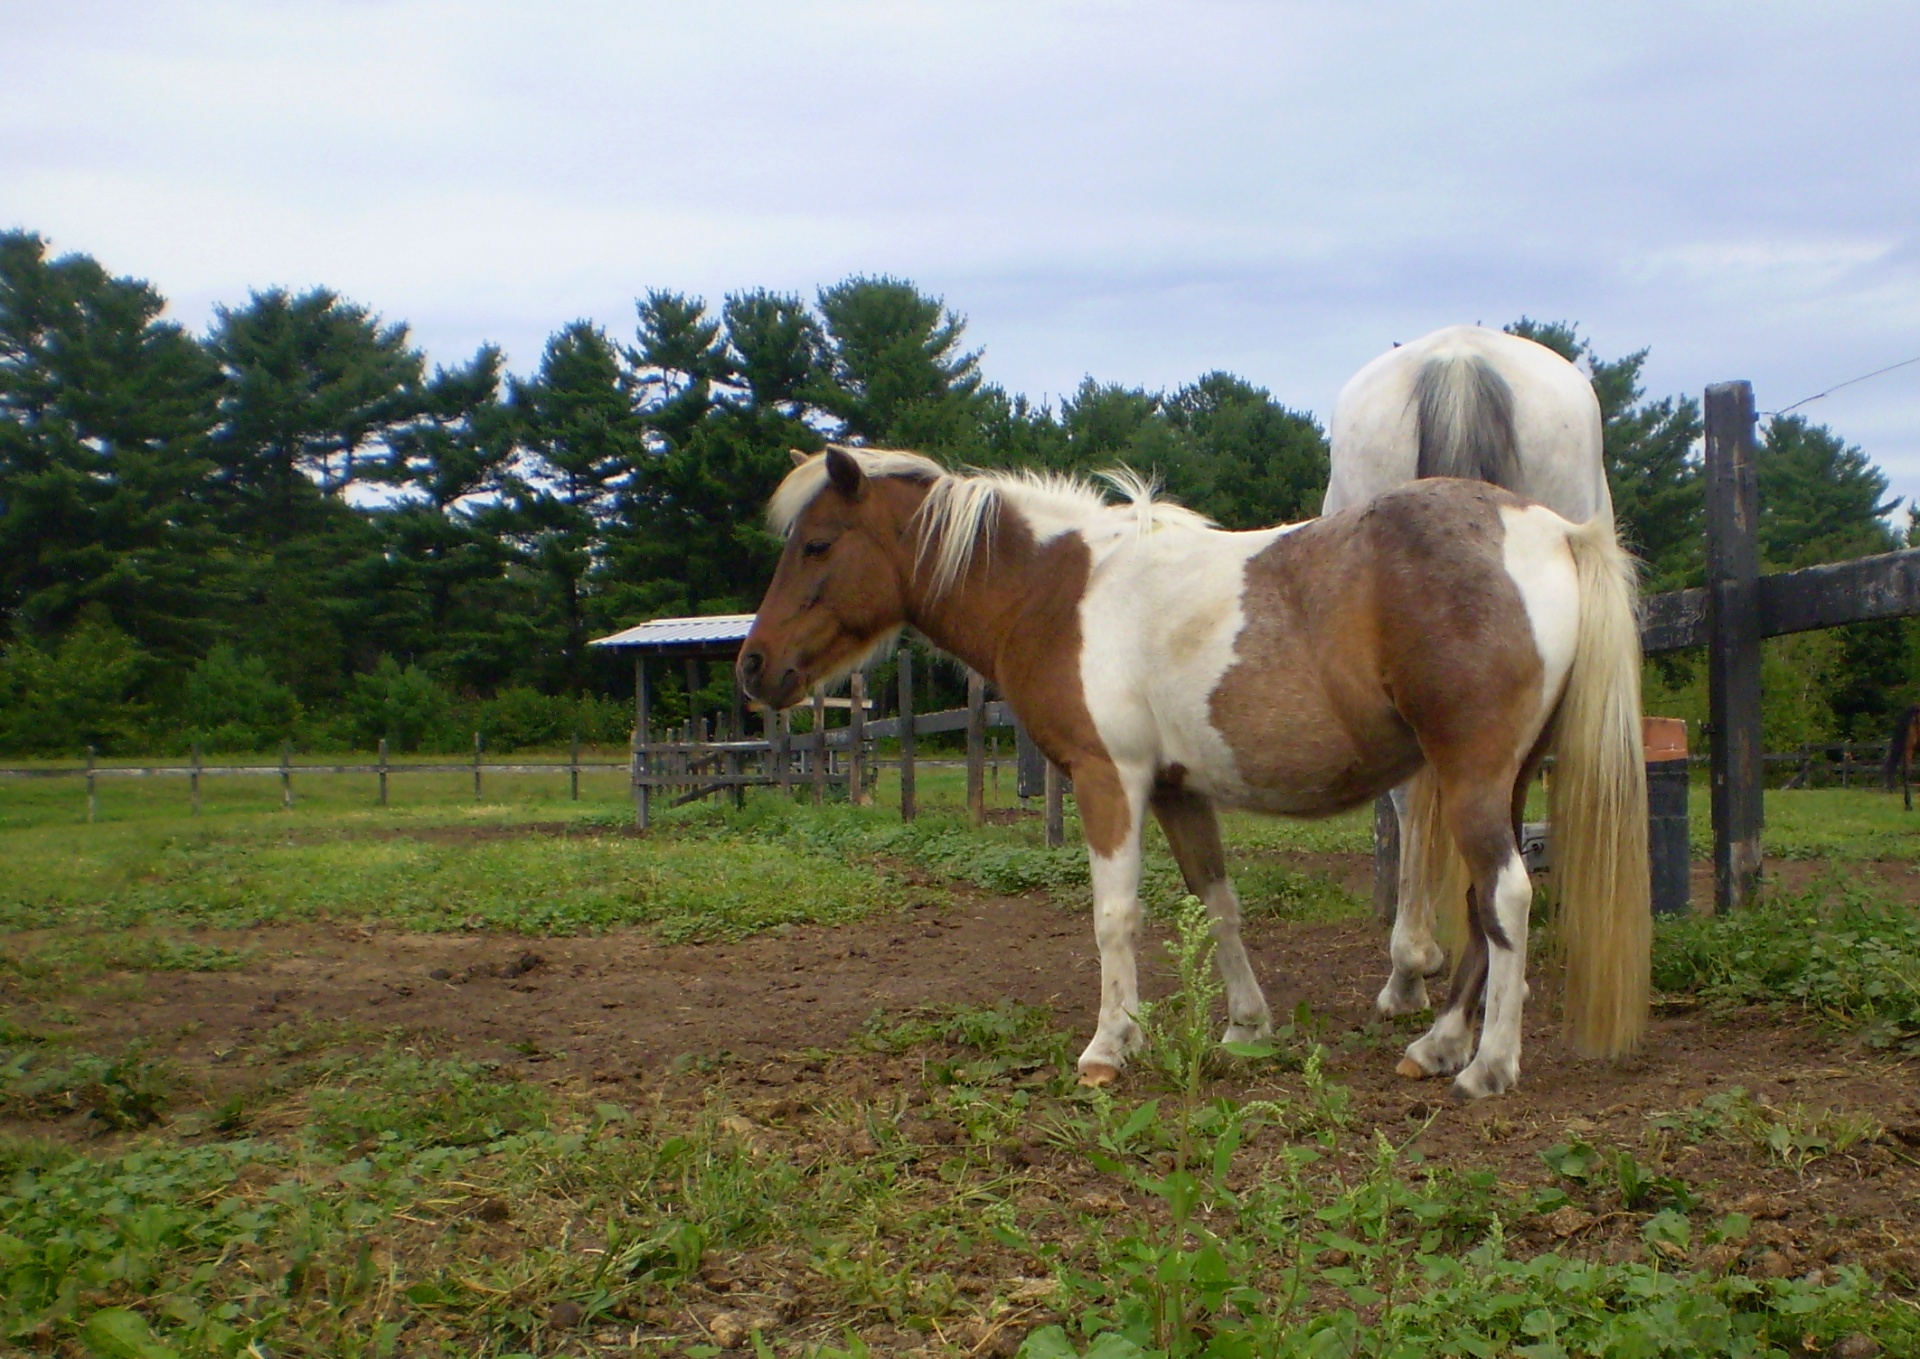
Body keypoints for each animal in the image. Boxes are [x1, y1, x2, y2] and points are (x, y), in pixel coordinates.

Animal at [733, 445, 1651, 1105]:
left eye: (817, 544)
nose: (753, 666)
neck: (1056, 590)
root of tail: (1550, 529)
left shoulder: (1109, 779)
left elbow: (1114, 917)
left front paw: (1109, 1045)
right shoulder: (1178, 791)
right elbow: (1219, 904)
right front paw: (1247, 1025)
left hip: (1471, 777)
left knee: (1507, 898)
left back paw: (1487, 1065)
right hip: (1503, 779)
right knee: (1482, 907)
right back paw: (1435, 1047)